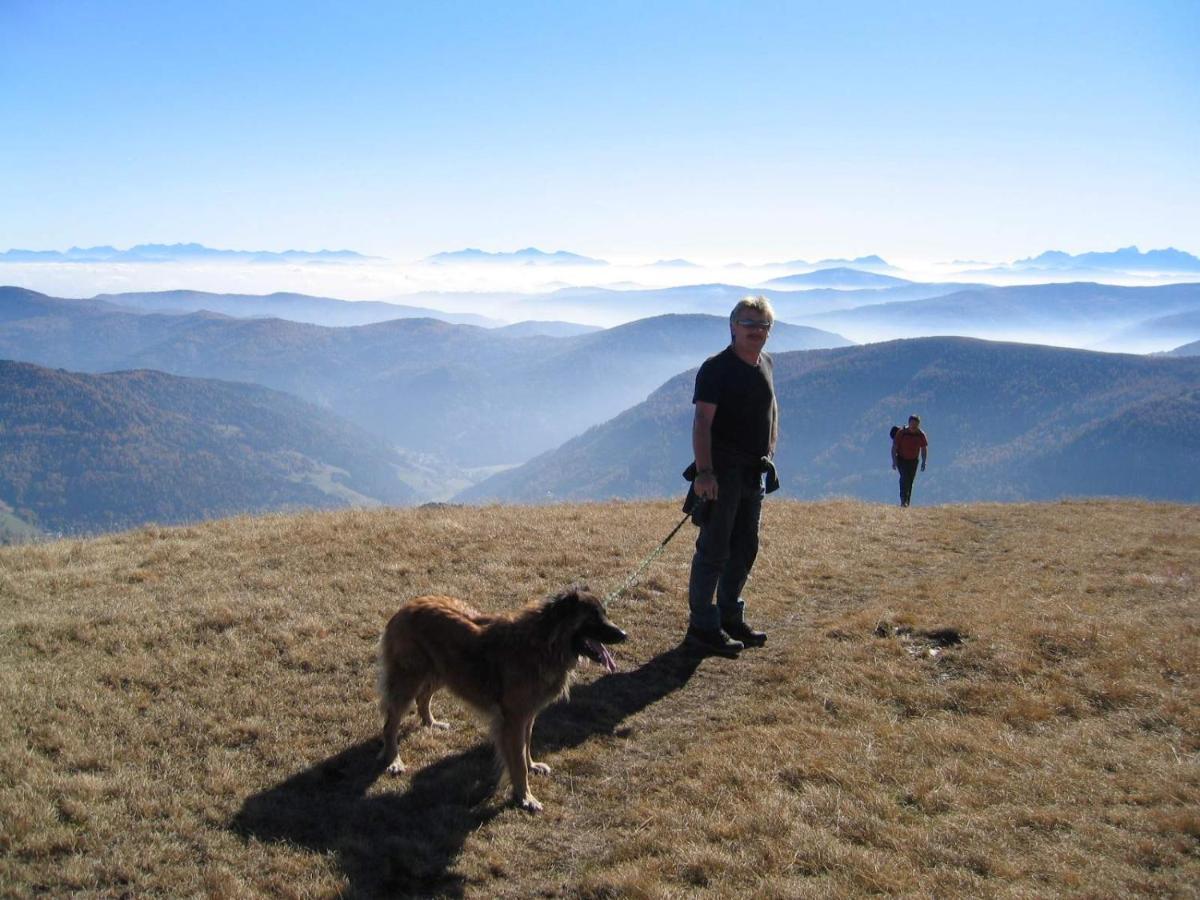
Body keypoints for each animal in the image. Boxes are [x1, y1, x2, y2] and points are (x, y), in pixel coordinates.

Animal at [376, 588, 628, 816]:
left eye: (604, 614)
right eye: (592, 617)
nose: (624, 634)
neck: (544, 642)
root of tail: (405, 608)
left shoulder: (527, 715)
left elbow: (526, 746)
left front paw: (532, 767)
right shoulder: (513, 720)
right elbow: (517, 761)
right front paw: (525, 798)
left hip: (442, 672)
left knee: (423, 698)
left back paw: (431, 723)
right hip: (410, 680)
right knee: (390, 724)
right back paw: (394, 760)